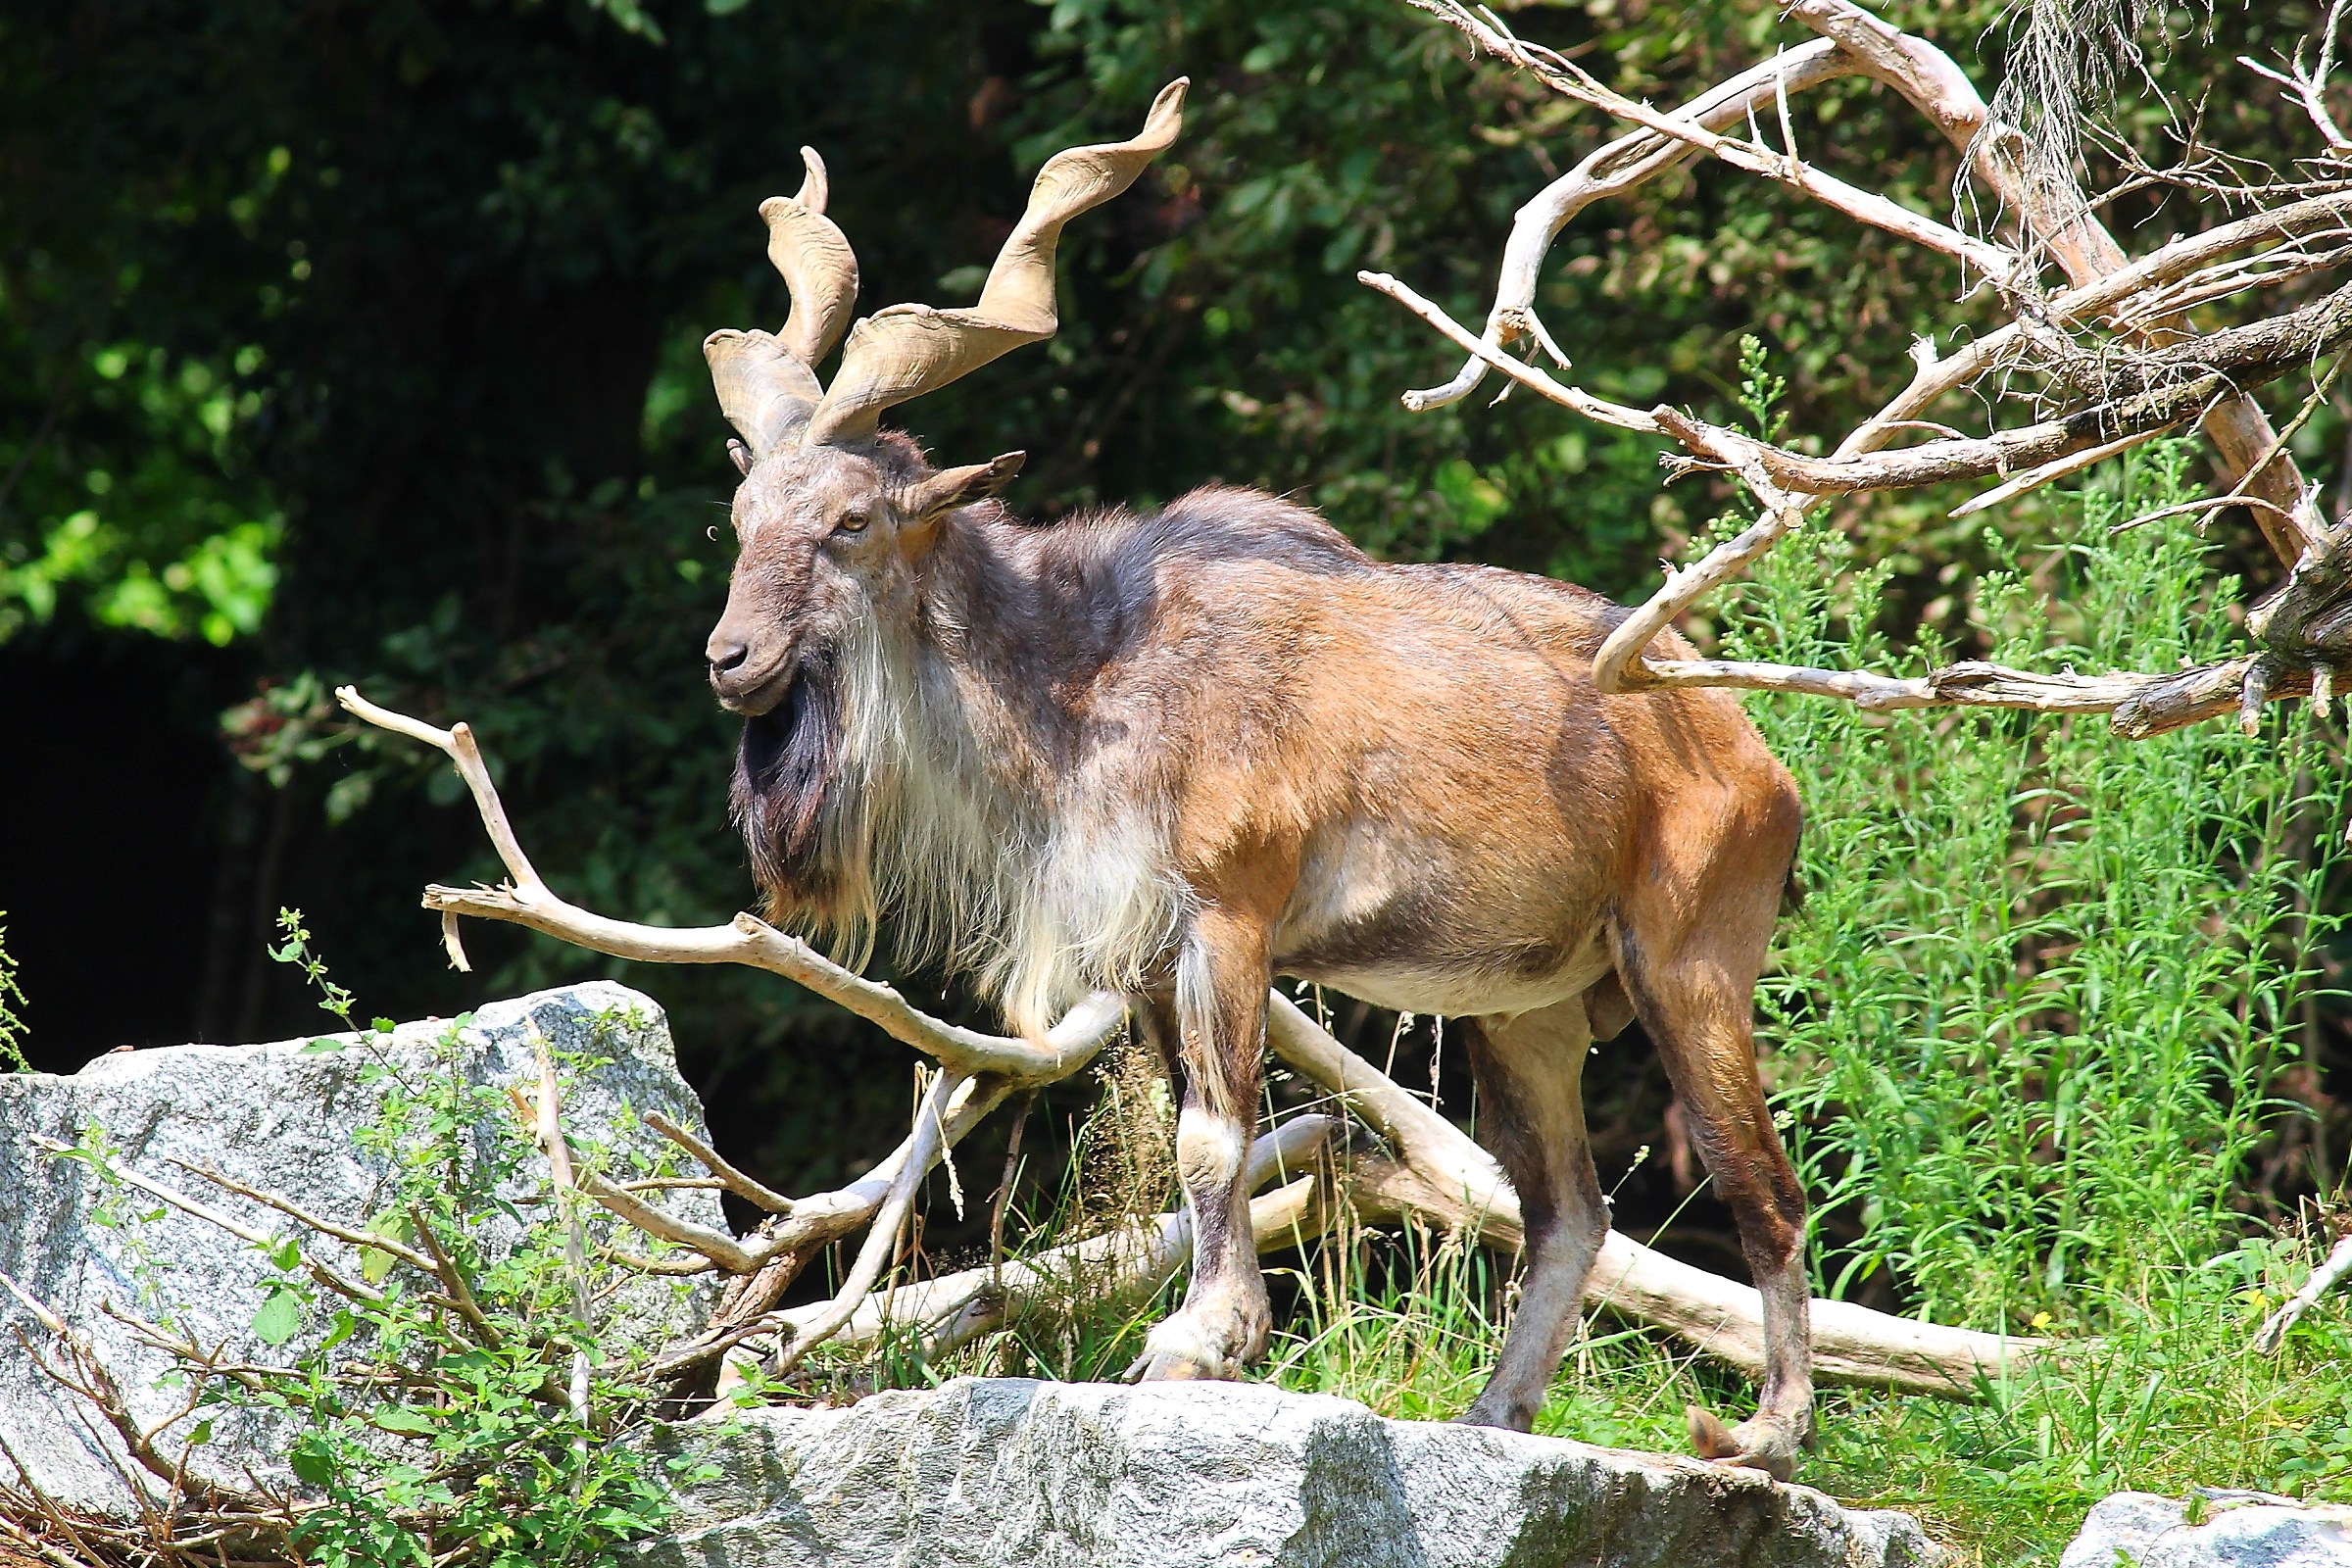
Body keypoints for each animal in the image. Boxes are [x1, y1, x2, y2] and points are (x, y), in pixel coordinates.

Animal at [699, 82, 1812, 1478]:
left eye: (851, 521)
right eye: (740, 518)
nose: (731, 659)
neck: (1095, 674)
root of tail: (1757, 761)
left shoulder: (1230, 918)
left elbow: (1212, 1134)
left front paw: (1198, 1342)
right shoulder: (1148, 959)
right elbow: (1202, 1138)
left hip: (1687, 966)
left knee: (1756, 1180)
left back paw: (1767, 1432)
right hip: (1528, 1014)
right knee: (1570, 1209)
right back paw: (1494, 1413)